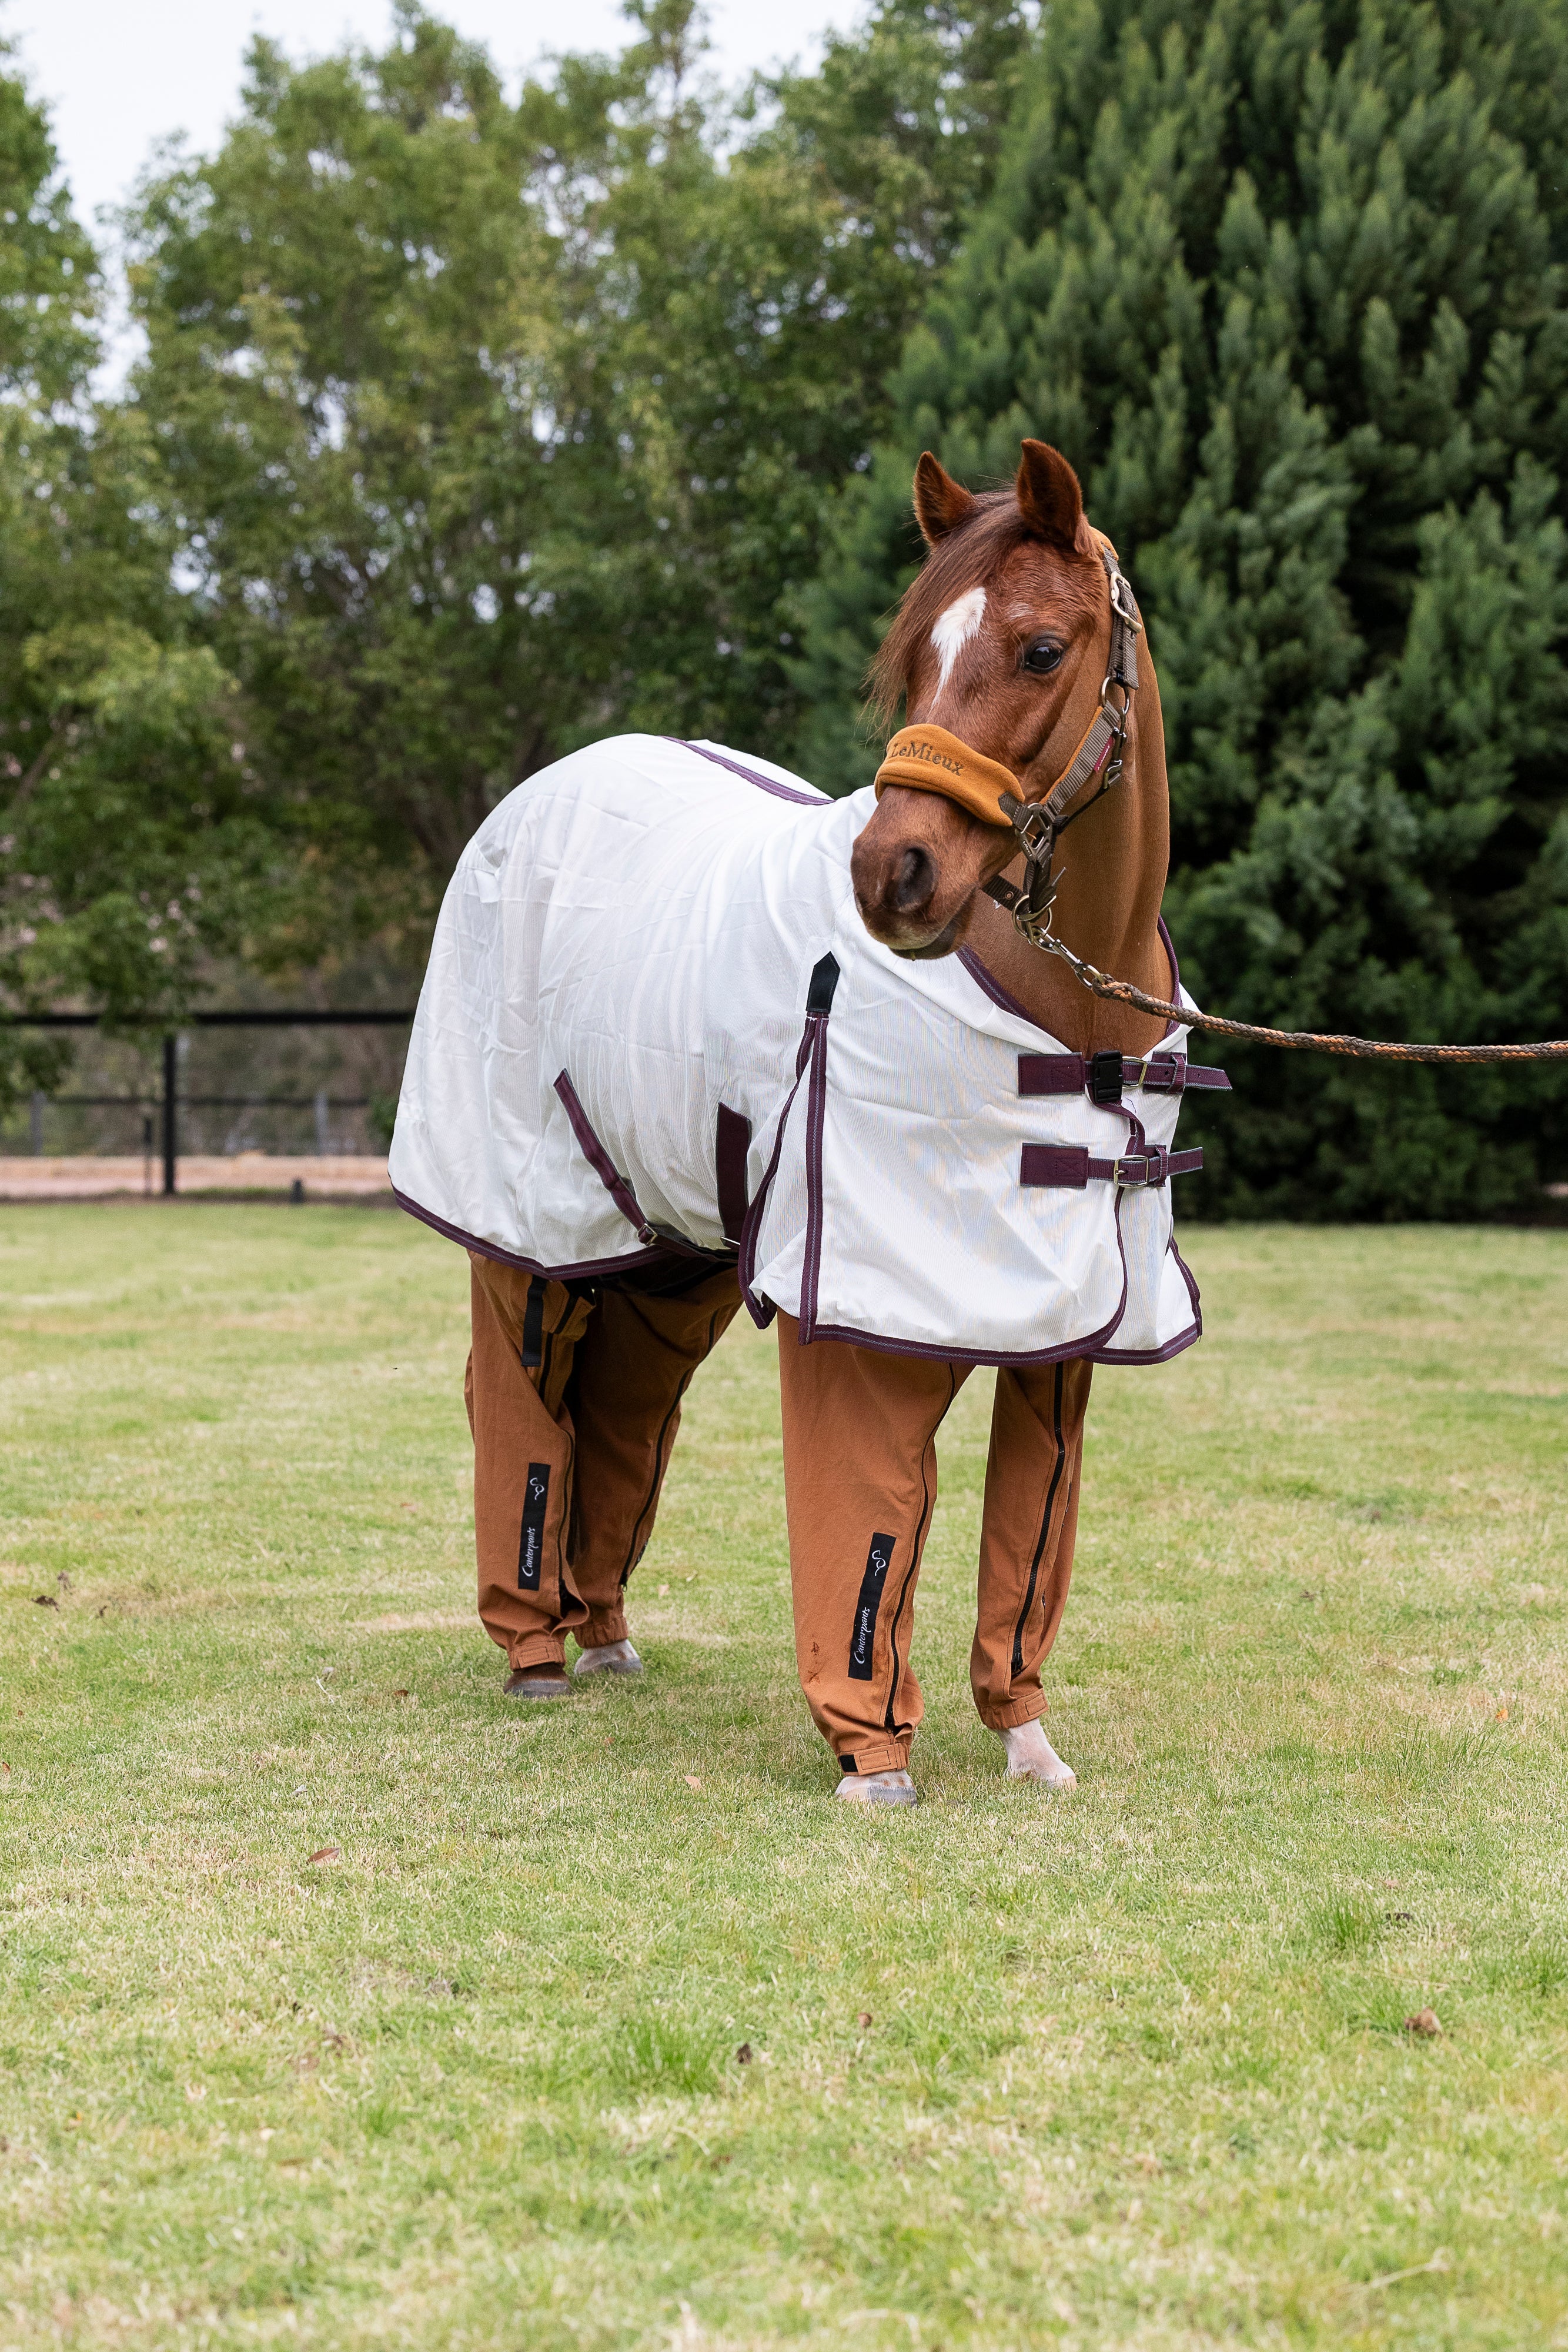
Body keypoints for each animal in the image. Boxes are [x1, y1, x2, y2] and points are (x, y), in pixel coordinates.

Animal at [390, 439, 1217, 1806]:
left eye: (1042, 648)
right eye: (916, 650)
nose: (893, 876)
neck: (1067, 1013)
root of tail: (542, 793)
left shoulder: (1062, 1335)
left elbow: (1026, 1546)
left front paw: (1025, 1740)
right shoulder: (866, 1326)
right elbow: (865, 1520)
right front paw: (870, 1756)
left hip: (673, 1256)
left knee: (624, 1410)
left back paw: (601, 1631)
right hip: (530, 1239)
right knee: (527, 1398)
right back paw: (534, 1650)